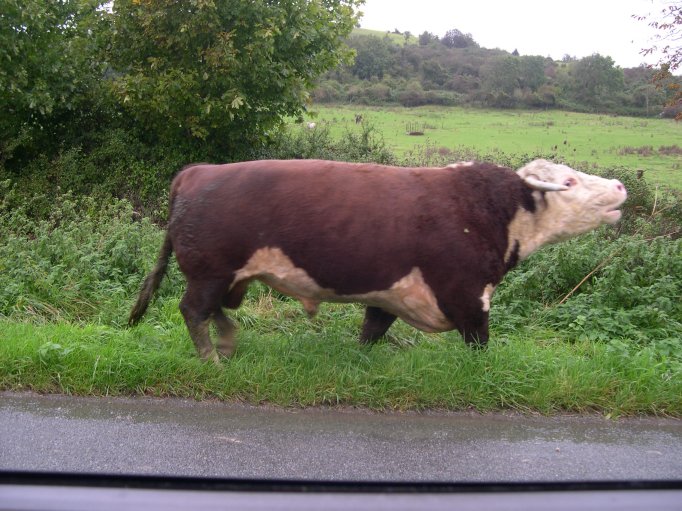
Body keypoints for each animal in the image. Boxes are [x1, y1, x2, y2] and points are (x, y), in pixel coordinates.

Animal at [128, 159, 627, 363]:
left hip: (228, 276)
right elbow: (479, 345)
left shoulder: (389, 296)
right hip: (210, 271)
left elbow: (371, 333)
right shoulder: (468, 296)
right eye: (569, 180)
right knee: (194, 310)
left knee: (215, 311)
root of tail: (198, 171)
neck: (491, 211)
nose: (620, 186)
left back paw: (229, 346)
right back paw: (212, 358)